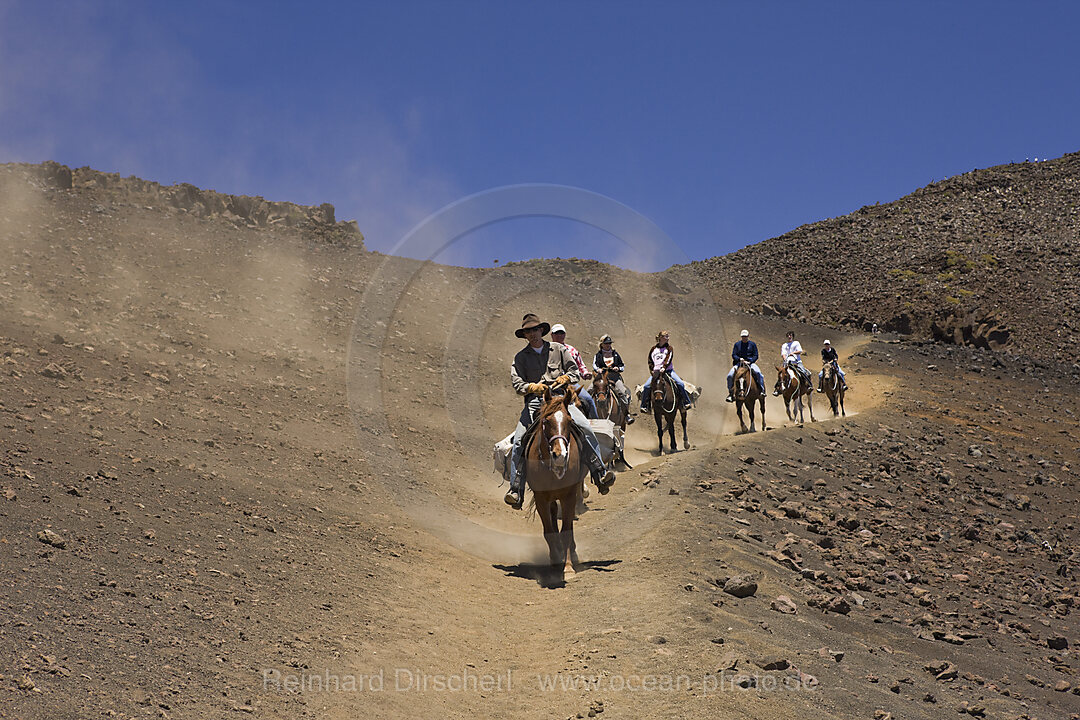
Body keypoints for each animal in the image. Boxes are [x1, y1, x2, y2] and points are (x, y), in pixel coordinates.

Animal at [527, 386, 587, 578]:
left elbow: (566, 531)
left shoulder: (569, 495)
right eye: (546, 421)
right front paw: (555, 560)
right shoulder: (540, 498)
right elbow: (549, 531)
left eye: (569, 420)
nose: (560, 455)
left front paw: (568, 567)